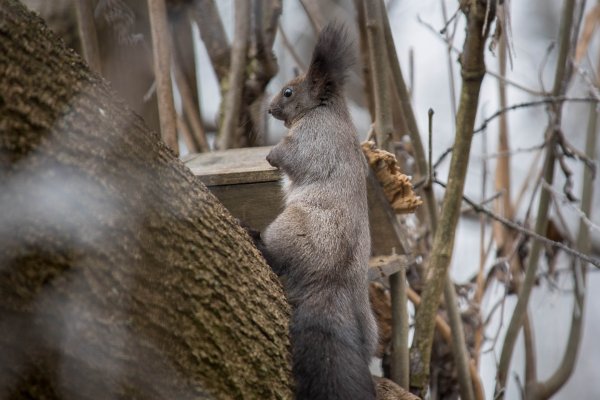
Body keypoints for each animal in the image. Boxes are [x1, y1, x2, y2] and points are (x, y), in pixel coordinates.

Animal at [255, 23, 378, 398]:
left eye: (288, 92)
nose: (269, 109)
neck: (323, 109)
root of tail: (331, 282)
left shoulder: (310, 139)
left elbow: (288, 156)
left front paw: (270, 155)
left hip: (291, 225)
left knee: (277, 257)